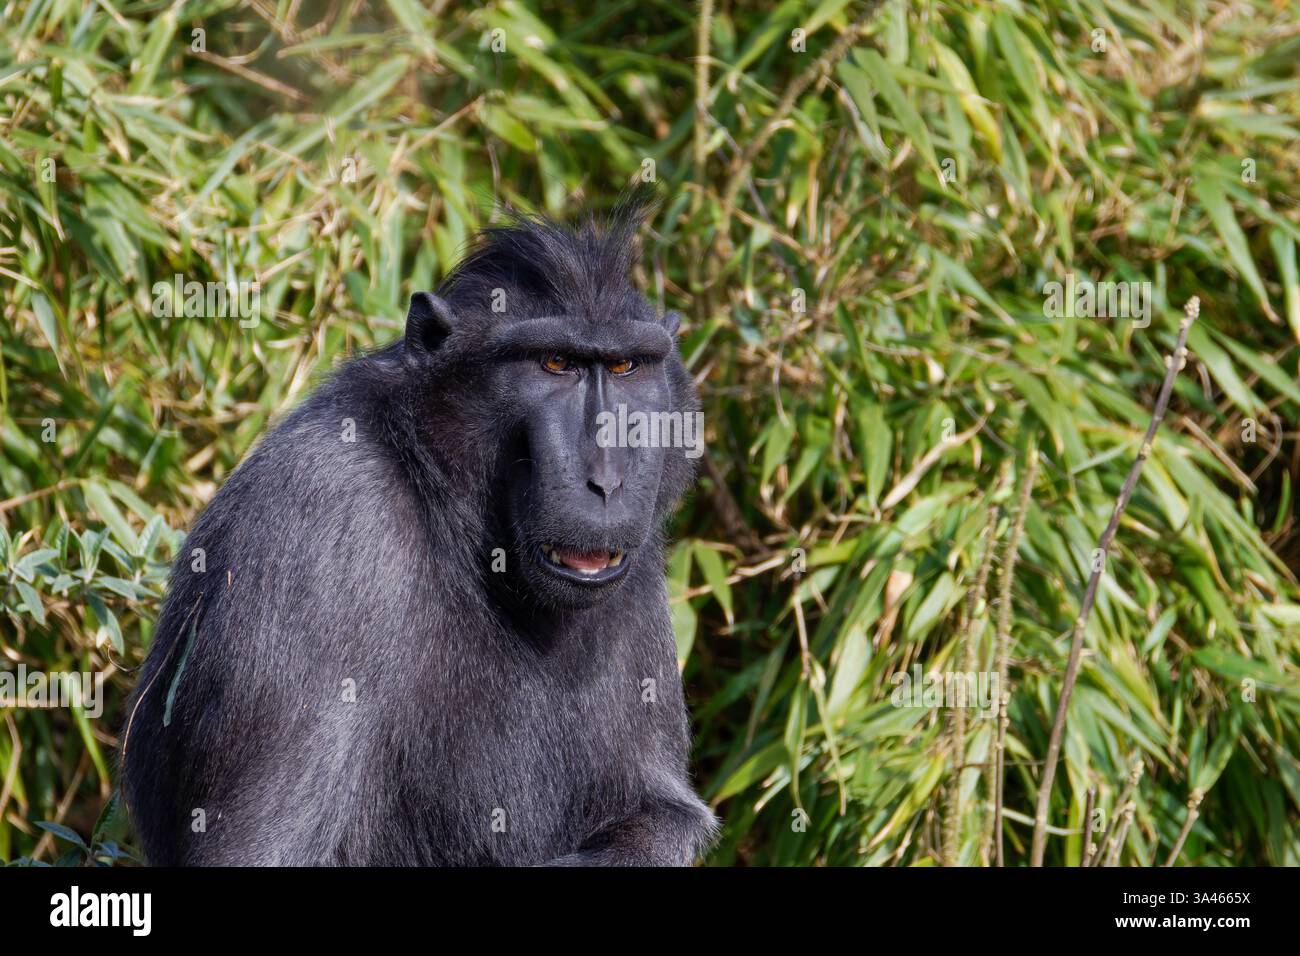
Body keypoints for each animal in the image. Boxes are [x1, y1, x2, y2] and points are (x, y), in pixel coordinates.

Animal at [120, 195, 718, 866]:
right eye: (555, 363)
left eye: (625, 366)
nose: (606, 476)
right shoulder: (322, 519)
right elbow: (263, 850)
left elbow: (657, 814)